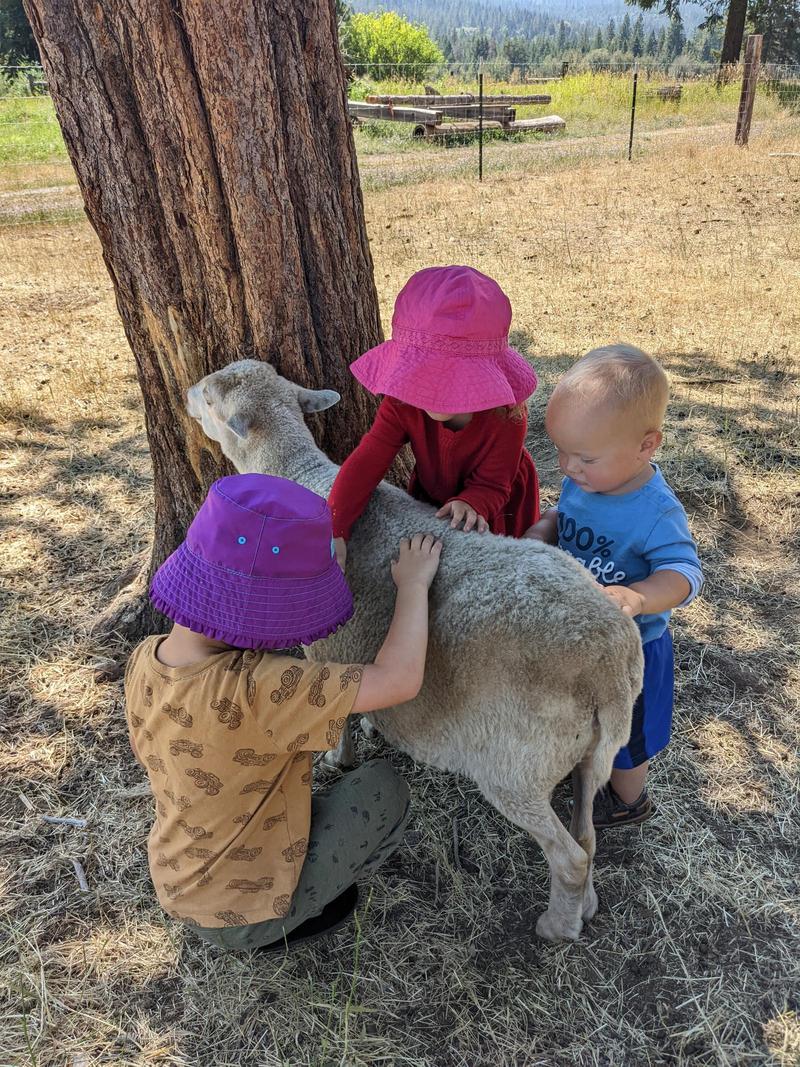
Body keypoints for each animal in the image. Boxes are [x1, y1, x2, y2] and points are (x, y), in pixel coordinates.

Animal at [187, 360, 644, 943]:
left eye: (209, 398)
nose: (186, 393)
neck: (298, 476)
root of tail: (610, 667)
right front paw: (371, 727)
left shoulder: (323, 650)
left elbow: (335, 718)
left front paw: (340, 758)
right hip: (588, 752)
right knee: (588, 835)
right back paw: (582, 908)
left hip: (516, 764)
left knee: (570, 855)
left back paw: (556, 927)